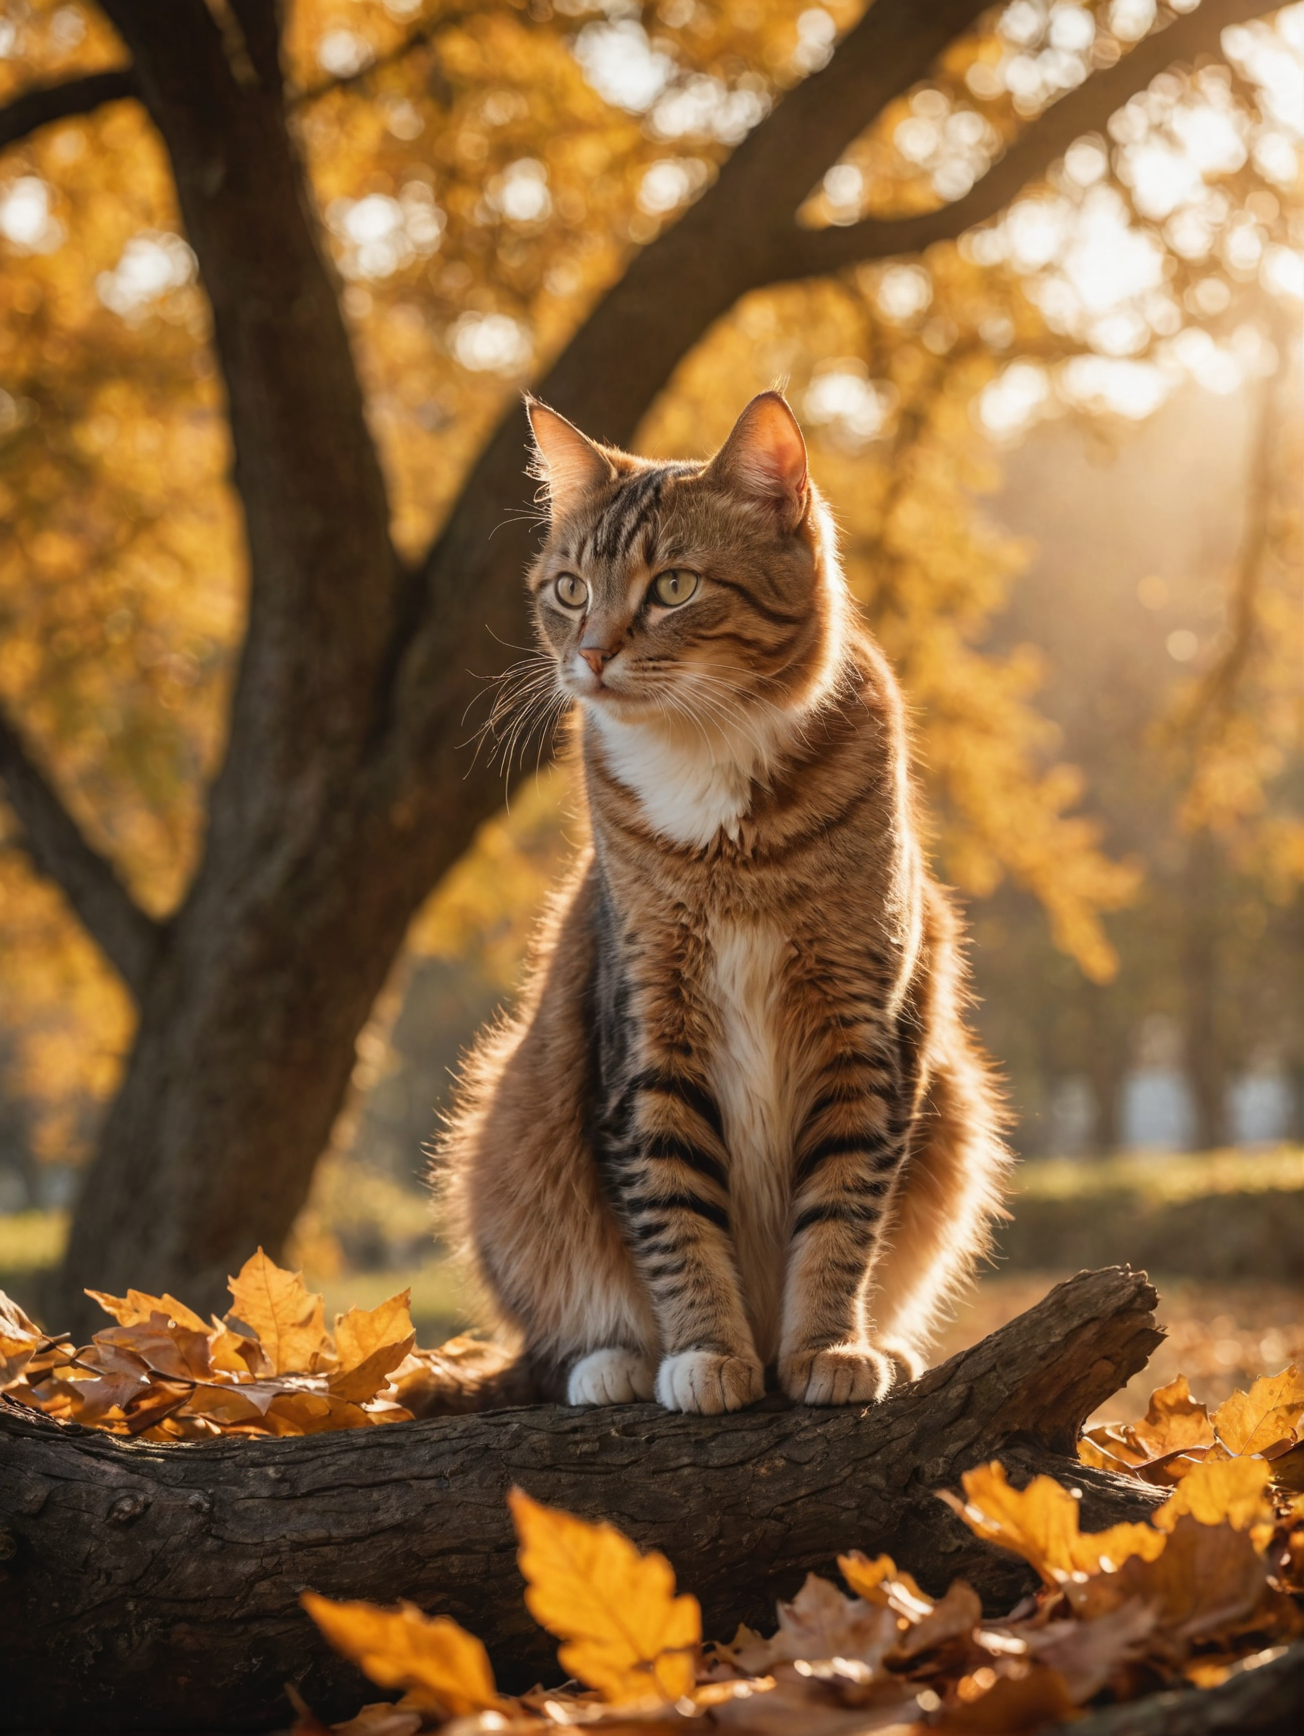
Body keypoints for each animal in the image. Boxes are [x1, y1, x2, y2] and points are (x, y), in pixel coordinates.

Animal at [439, 390, 1007, 1409]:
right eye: (569, 589)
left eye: (673, 587)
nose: (591, 654)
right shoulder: (650, 1023)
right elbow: (673, 1208)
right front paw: (705, 1351)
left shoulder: (860, 1023)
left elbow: (843, 1208)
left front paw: (827, 1344)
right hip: (507, 1128)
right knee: (550, 1333)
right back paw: (613, 1362)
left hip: (956, 1105)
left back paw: (885, 1345)